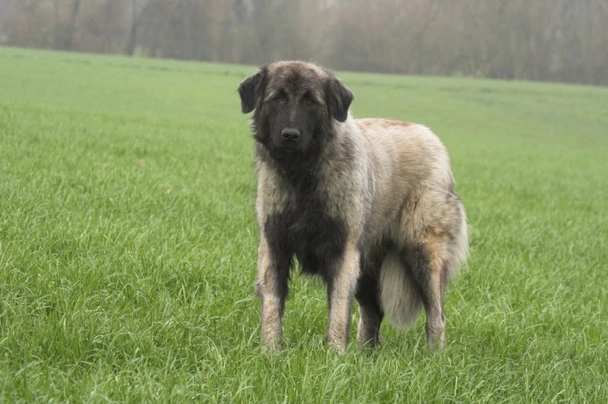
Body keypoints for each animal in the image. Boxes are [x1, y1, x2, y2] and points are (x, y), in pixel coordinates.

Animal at [239, 61, 470, 352]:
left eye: (309, 102)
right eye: (278, 99)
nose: (290, 135)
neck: (302, 174)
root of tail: (432, 137)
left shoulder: (342, 249)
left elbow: (338, 308)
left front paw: (334, 354)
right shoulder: (274, 244)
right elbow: (272, 305)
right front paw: (271, 352)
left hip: (422, 253)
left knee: (436, 315)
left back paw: (434, 356)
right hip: (369, 263)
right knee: (373, 313)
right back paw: (364, 354)